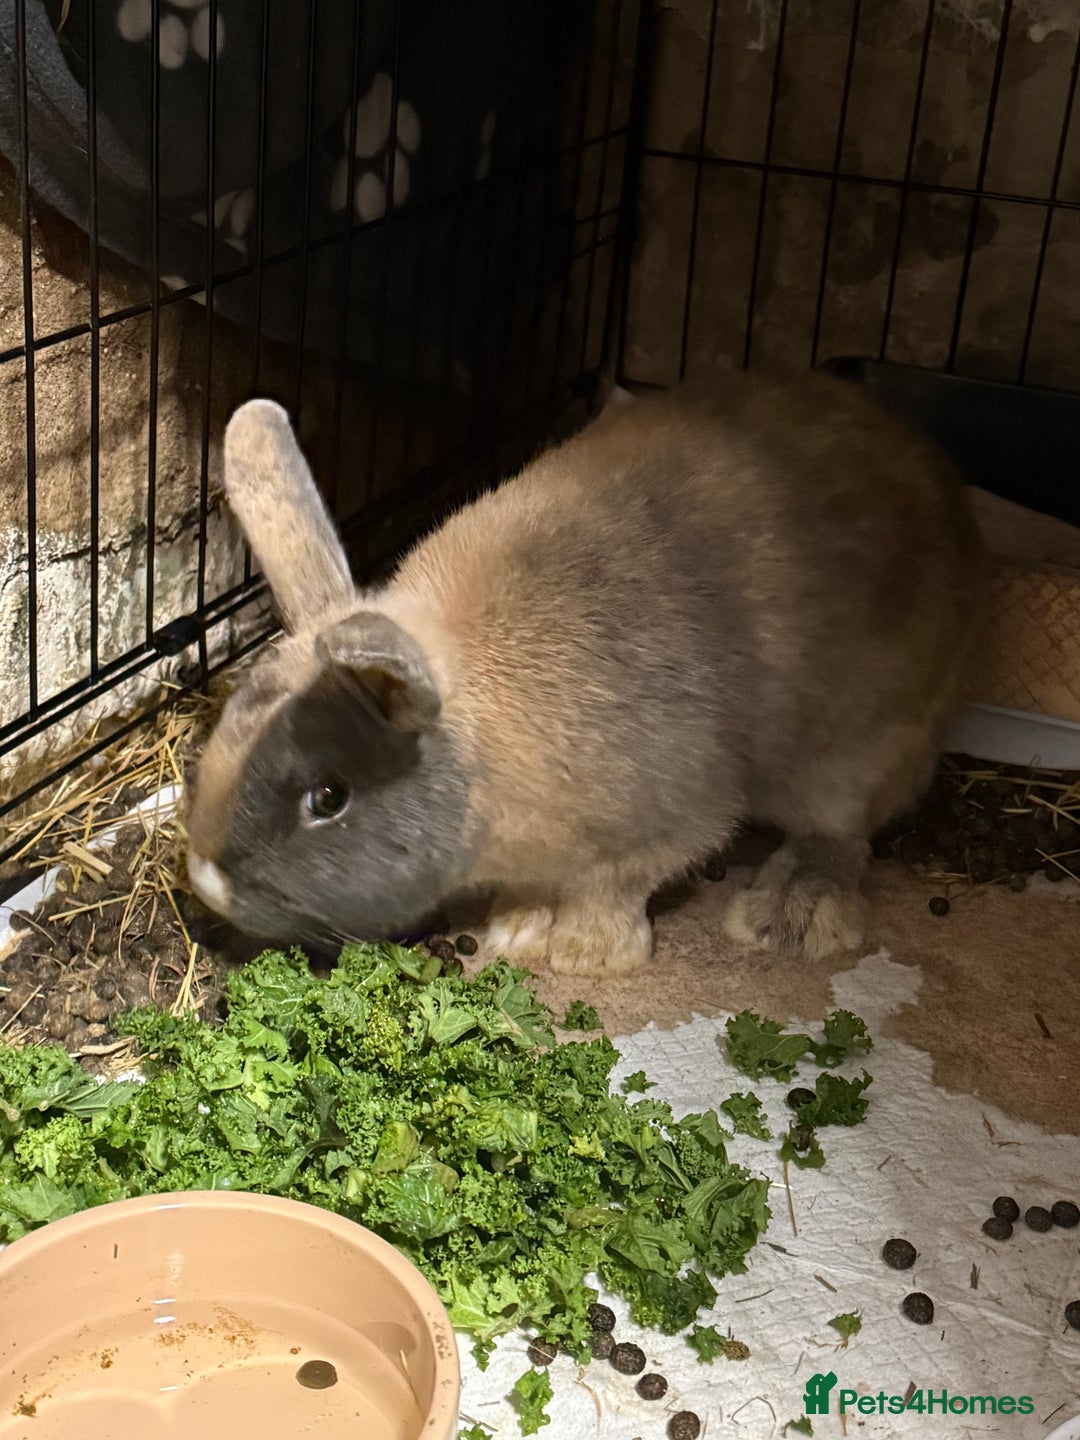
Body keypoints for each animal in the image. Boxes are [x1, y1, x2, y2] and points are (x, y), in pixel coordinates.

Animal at [185, 372, 983, 974]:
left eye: (327, 797)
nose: (205, 881)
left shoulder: (675, 814)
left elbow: (618, 882)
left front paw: (586, 953)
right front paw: (517, 931)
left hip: (856, 750)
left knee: (842, 832)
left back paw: (791, 914)